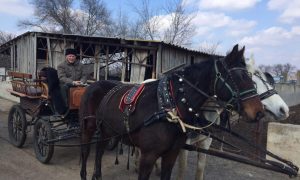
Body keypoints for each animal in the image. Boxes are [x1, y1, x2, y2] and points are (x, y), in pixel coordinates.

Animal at [80, 44, 264, 180]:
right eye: (239, 77)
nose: (259, 112)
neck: (168, 106)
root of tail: (93, 85)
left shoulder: (171, 154)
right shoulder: (148, 157)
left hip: (106, 132)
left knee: (99, 152)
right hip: (89, 128)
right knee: (86, 150)